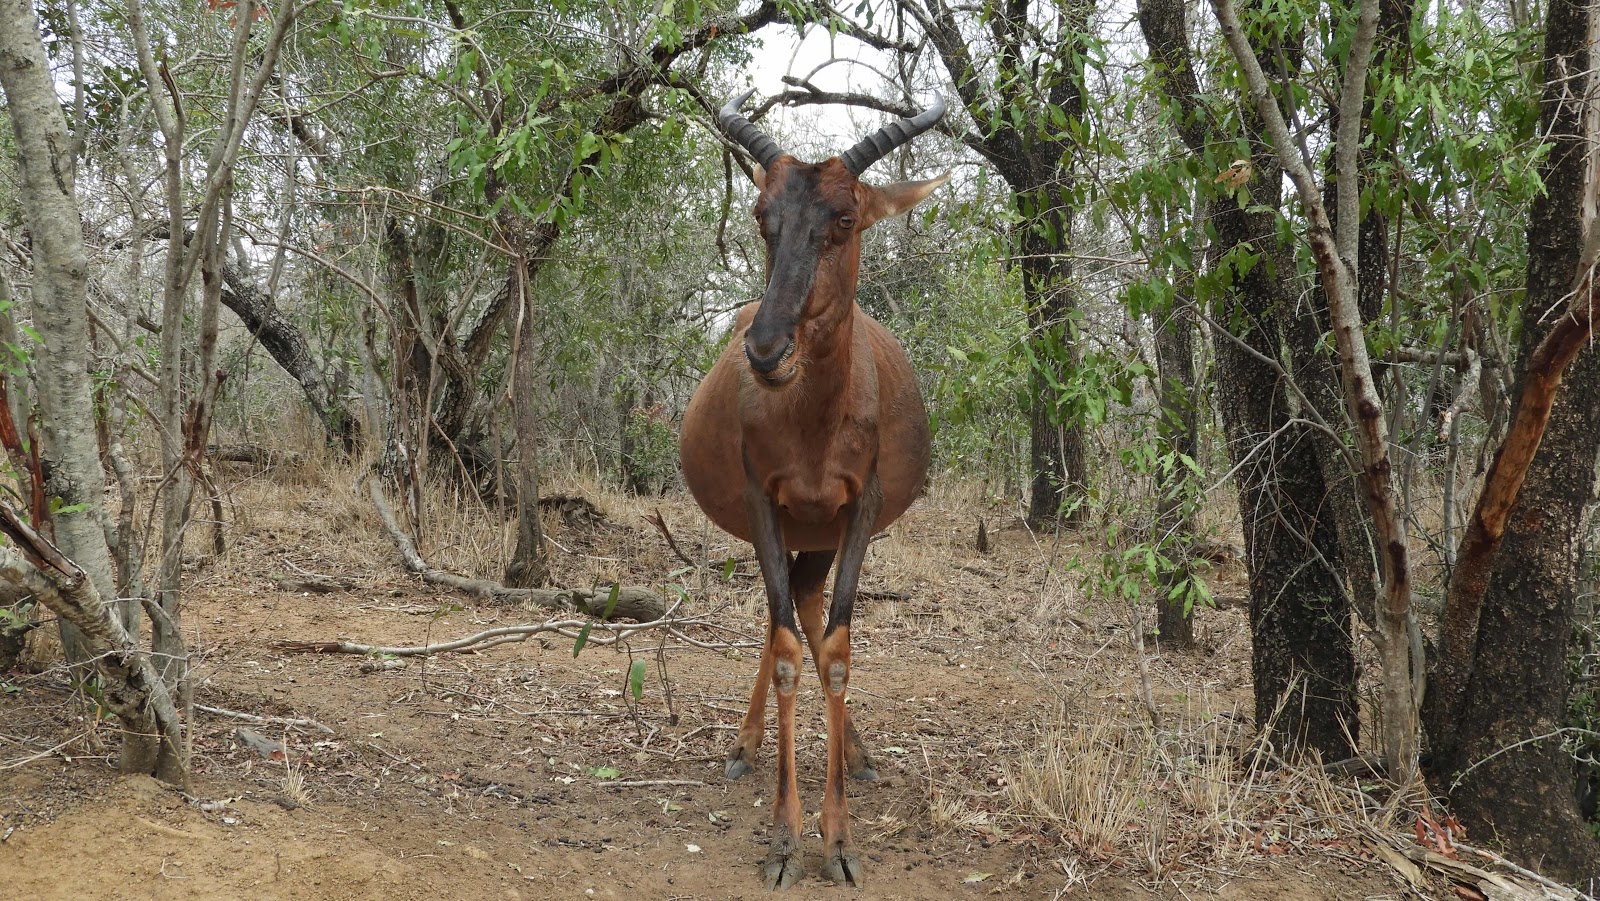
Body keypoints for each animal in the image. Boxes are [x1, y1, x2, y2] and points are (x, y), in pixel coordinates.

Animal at [678, 91, 947, 889]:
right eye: (763, 214)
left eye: (845, 218)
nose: (766, 352)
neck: (815, 418)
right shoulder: (763, 504)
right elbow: (789, 653)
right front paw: (784, 842)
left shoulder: (859, 510)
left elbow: (836, 651)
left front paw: (842, 843)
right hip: (792, 527)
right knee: (786, 617)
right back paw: (743, 747)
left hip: (821, 531)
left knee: (807, 603)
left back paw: (857, 754)